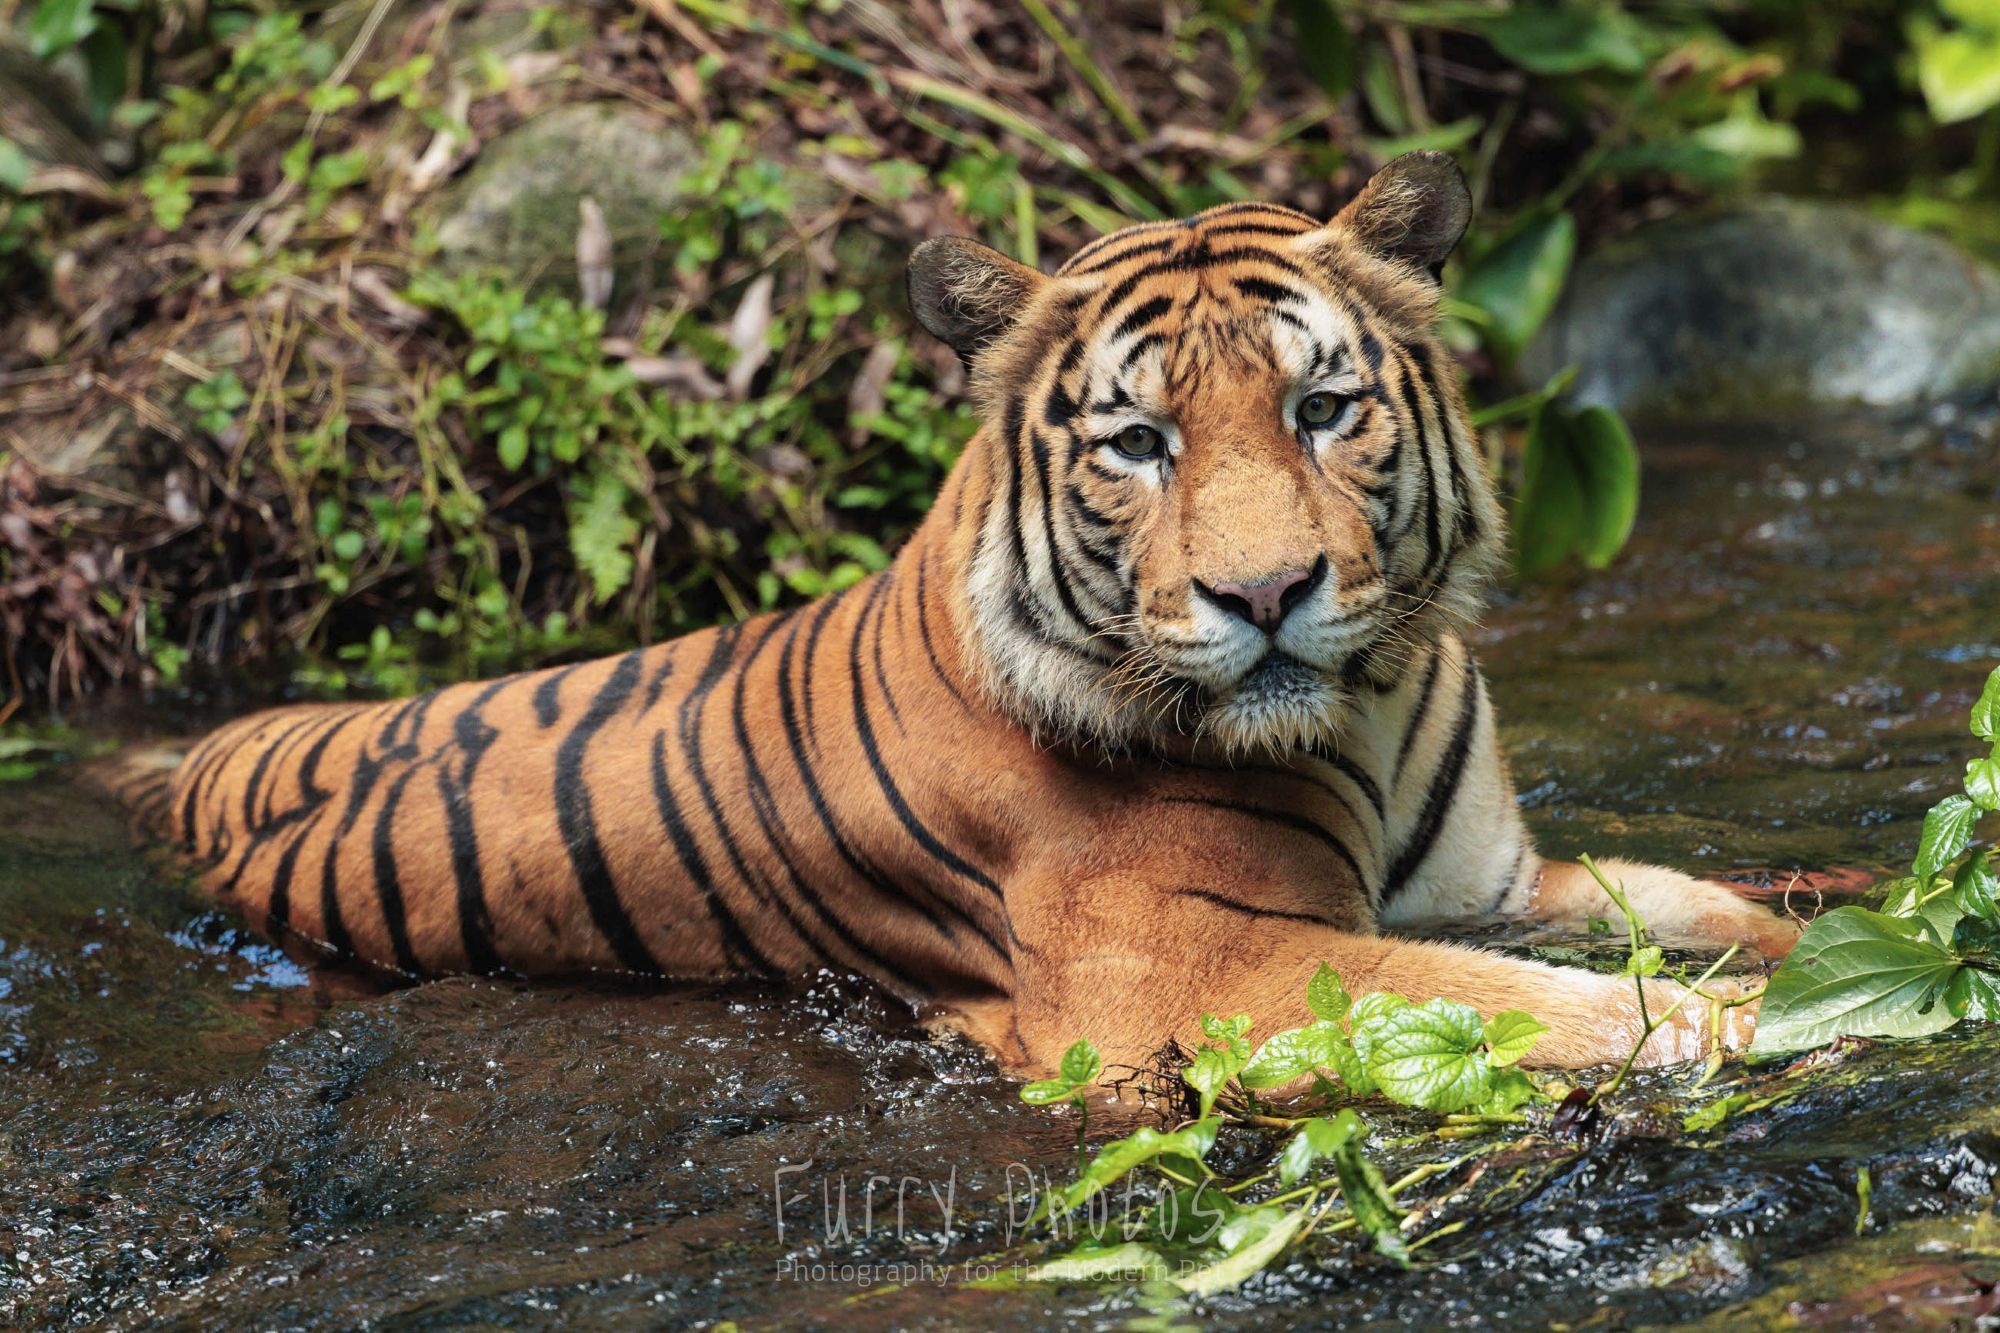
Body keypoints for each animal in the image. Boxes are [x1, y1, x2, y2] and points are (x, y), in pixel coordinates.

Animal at [129, 153, 1816, 1072]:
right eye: (1139, 442)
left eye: (1323, 409)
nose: (1268, 592)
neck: (1374, 710)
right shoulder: (1205, 969)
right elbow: (1575, 1011)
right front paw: (1811, 1039)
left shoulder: (1490, 885)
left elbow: (1702, 916)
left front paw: (1836, 941)